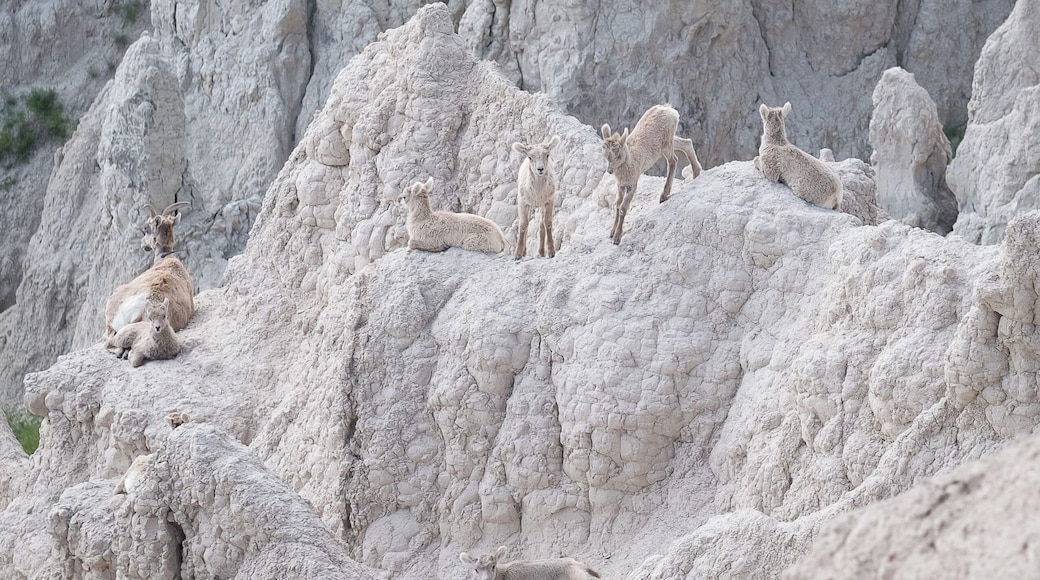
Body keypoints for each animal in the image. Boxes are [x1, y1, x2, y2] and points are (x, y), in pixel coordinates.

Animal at [600, 104, 703, 244]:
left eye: (619, 155)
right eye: (605, 156)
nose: (610, 171)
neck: (630, 160)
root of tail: (670, 110)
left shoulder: (632, 185)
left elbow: (623, 208)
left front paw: (617, 238)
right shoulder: (620, 185)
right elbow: (617, 204)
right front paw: (611, 232)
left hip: (666, 144)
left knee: (673, 160)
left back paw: (664, 195)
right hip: (668, 143)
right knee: (686, 143)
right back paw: (696, 174)